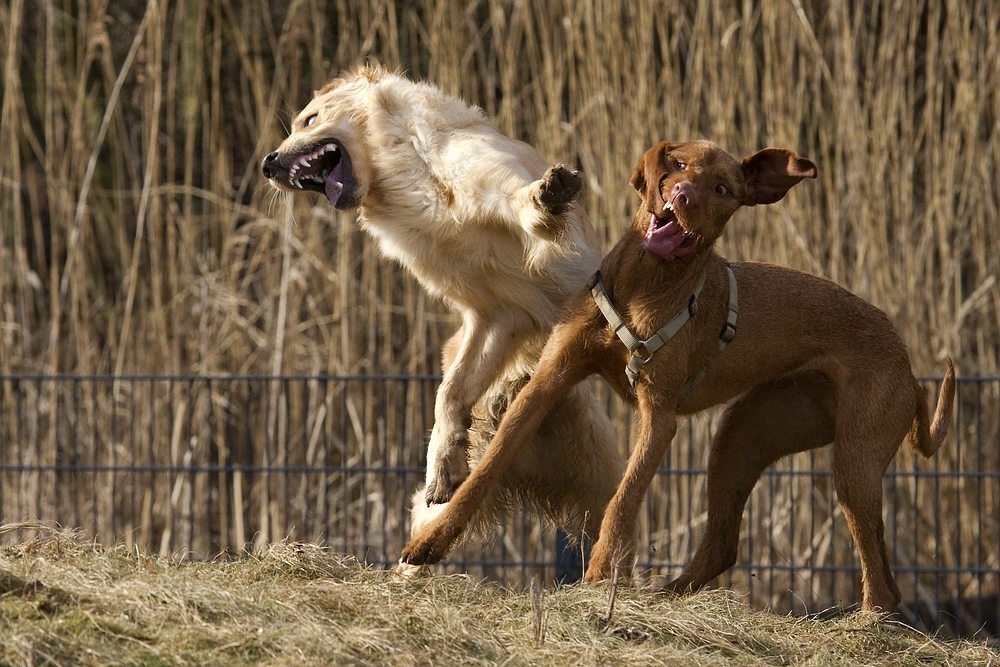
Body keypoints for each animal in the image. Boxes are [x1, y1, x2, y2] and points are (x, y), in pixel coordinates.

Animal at [262, 64, 620, 564]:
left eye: (308, 120)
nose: (268, 163)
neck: (407, 180)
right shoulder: (494, 314)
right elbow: (449, 392)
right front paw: (445, 457)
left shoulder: (506, 214)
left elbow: (528, 207)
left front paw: (547, 198)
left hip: (598, 474)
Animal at [402, 142, 956, 616]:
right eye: (680, 165)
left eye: (723, 189)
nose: (683, 196)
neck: (646, 283)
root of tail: (909, 366)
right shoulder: (546, 384)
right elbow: (486, 469)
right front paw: (430, 541)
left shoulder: (660, 418)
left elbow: (623, 500)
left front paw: (598, 578)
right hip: (743, 436)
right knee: (725, 543)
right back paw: (667, 597)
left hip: (853, 460)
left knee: (880, 576)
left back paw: (866, 623)